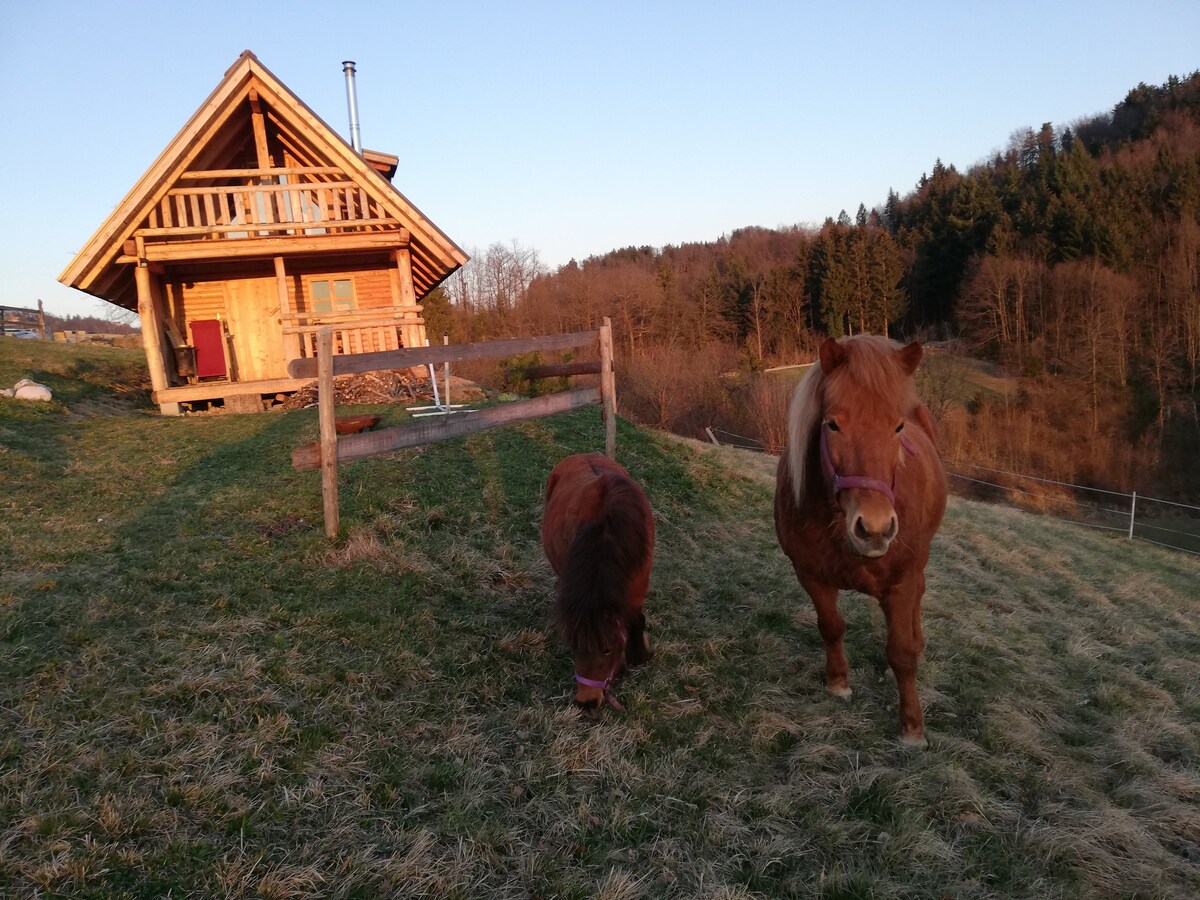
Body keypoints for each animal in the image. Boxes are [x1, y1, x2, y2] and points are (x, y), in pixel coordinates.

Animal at [542, 453, 657, 710]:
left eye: (607, 650)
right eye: (574, 647)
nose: (586, 703)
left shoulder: (637, 588)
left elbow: (635, 621)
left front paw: (638, 658)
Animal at [777, 336, 945, 748]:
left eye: (898, 426)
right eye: (833, 424)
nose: (875, 527)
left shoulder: (901, 584)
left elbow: (901, 653)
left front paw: (912, 728)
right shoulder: (811, 576)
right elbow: (831, 626)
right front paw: (838, 683)